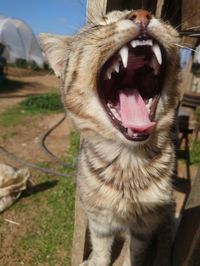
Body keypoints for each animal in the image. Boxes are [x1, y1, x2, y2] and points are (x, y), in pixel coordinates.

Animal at [39, 7, 180, 266]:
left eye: (160, 17)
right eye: (98, 25)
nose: (142, 14)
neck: (128, 163)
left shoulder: (145, 227)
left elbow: (133, 255)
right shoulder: (99, 222)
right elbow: (102, 251)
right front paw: (95, 259)